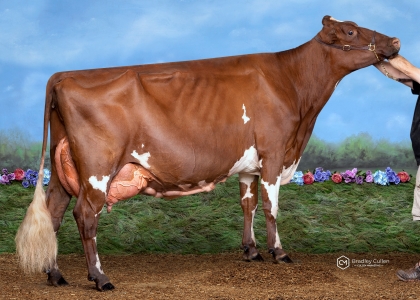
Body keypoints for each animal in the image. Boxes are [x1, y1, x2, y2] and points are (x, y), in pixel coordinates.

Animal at [13, 15, 400, 290]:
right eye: (350, 31)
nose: (395, 40)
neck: (293, 86)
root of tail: (64, 76)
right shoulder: (274, 154)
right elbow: (272, 207)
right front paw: (279, 252)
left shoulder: (250, 164)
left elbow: (248, 205)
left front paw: (251, 251)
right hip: (97, 167)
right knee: (85, 215)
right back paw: (100, 277)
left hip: (63, 168)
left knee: (54, 213)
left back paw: (55, 275)